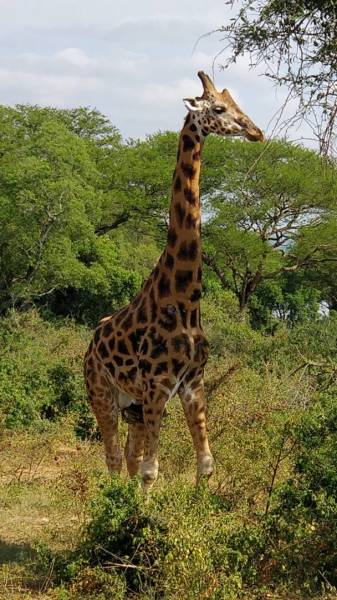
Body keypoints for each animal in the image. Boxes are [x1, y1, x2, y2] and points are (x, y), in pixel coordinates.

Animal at [84, 71, 262, 492]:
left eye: (237, 104)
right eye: (218, 109)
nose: (255, 131)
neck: (185, 298)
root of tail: (90, 343)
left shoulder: (192, 383)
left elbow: (206, 463)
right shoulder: (158, 385)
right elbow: (151, 471)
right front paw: (138, 511)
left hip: (132, 405)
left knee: (128, 456)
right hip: (101, 392)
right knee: (113, 458)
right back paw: (109, 500)